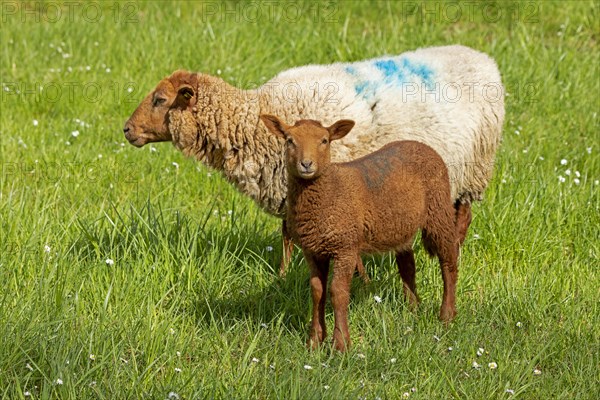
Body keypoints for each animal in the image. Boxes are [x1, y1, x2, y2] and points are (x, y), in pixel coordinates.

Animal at [120, 43, 502, 276]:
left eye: (160, 100)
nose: (126, 129)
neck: (254, 117)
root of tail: (482, 58)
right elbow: (288, 234)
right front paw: (284, 274)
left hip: (472, 170)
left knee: (462, 220)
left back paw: (454, 255)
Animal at [258, 114, 460, 352]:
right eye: (289, 140)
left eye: (324, 140)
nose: (306, 164)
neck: (329, 191)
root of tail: (420, 144)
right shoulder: (313, 250)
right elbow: (317, 291)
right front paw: (314, 341)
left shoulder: (345, 247)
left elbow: (338, 292)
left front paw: (341, 344)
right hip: (399, 225)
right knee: (408, 265)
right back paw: (413, 307)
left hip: (438, 208)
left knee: (449, 260)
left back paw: (447, 315)